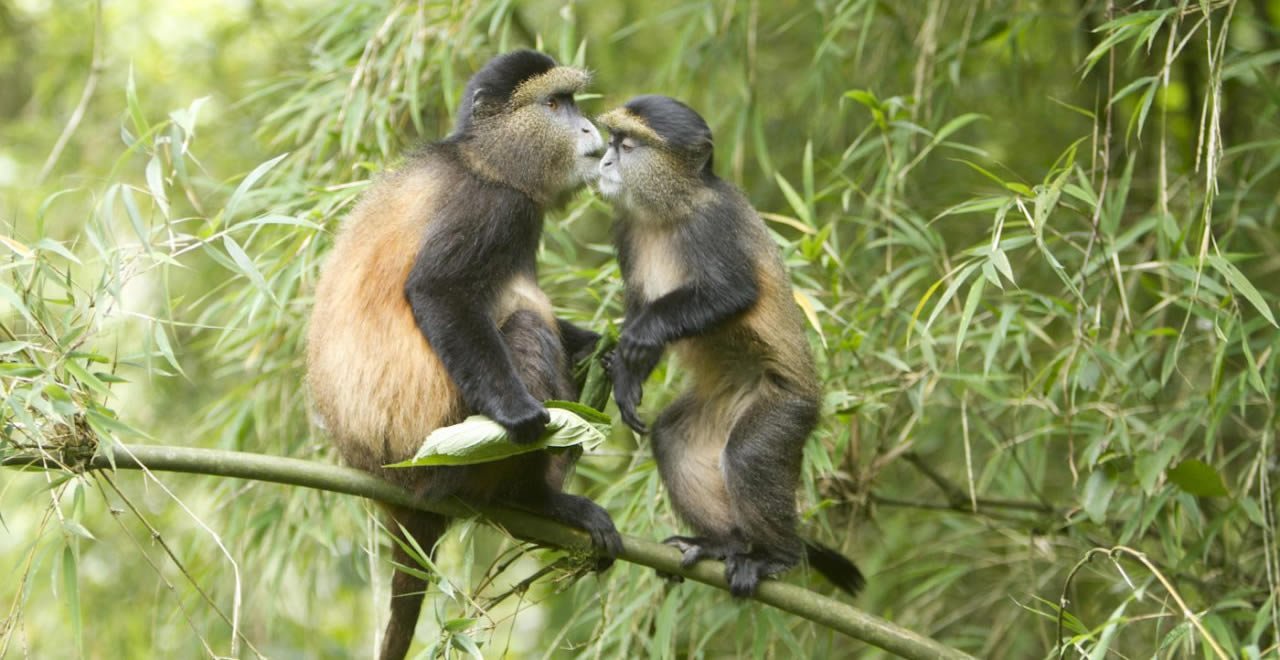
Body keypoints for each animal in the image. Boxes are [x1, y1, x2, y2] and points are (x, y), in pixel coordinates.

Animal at [306, 50, 622, 660]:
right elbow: (439, 291)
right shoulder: (494, 206)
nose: (590, 130)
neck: (484, 158)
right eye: (555, 105)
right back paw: (536, 500)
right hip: (444, 455)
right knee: (525, 326)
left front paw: (609, 351)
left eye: (573, 103)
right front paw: (521, 416)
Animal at [594, 95, 864, 598]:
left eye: (627, 144)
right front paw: (624, 374)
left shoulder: (714, 224)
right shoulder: (626, 230)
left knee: (748, 455)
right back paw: (725, 544)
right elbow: (638, 306)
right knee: (671, 437)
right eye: (612, 140)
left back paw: (777, 556)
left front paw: (641, 338)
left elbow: (733, 292)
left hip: (784, 407)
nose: (602, 162)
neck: (670, 210)